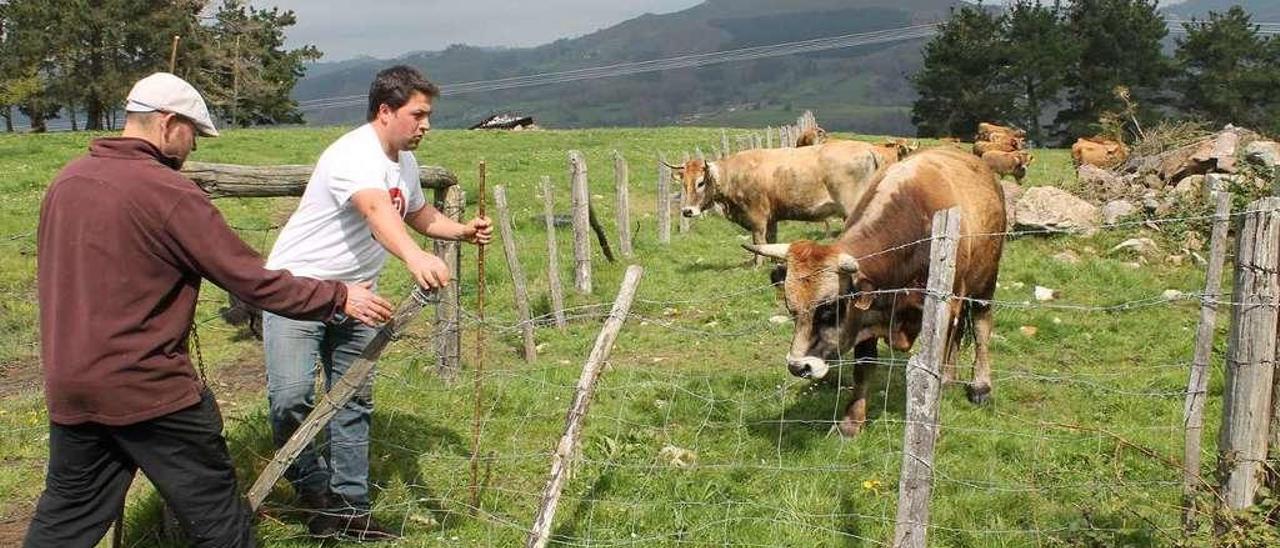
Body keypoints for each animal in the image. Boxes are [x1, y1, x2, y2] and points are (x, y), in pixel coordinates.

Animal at [675, 141, 885, 265]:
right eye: (684, 184)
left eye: (700, 183)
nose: (687, 211)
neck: (734, 175)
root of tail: (867, 148)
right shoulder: (771, 217)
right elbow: (771, 239)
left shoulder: (757, 216)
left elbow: (758, 241)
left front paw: (757, 265)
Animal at [747, 145, 1003, 437]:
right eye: (792, 309)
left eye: (830, 308)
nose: (798, 366)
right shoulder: (864, 317)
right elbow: (864, 367)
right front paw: (851, 422)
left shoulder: (943, 309)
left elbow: (934, 363)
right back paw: (951, 378)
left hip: (984, 284)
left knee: (981, 328)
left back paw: (980, 385)